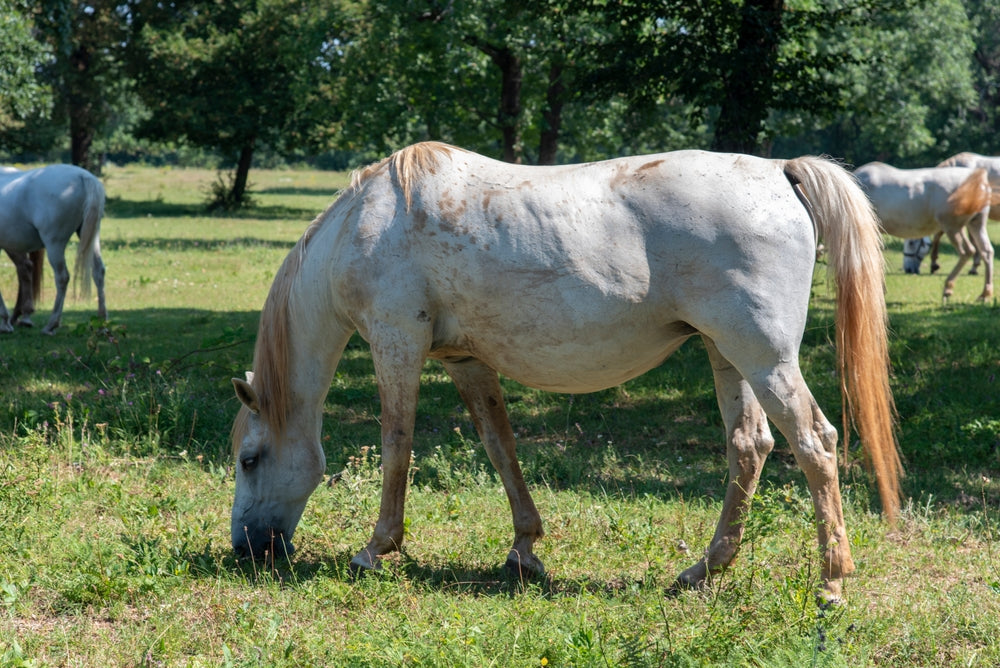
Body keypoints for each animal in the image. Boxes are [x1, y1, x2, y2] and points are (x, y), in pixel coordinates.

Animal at [0, 164, 107, 333]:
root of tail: (83, 176)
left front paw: (5, 322)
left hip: (54, 244)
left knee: (62, 277)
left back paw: (51, 324)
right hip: (91, 237)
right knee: (98, 272)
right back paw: (102, 324)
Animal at [230, 142, 901, 602]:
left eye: (249, 458)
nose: (246, 551)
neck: (366, 223)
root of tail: (778, 171)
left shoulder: (397, 343)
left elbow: (397, 445)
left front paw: (376, 550)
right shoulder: (466, 362)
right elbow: (500, 448)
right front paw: (525, 551)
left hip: (764, 357)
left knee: (814, 443)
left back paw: (832, 583)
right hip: (727, 354)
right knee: (750, 446)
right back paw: (702, 572)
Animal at [854, 161, 994, 302]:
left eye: (911, 244)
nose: (909, 269)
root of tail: (977, 180)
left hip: (952, 226)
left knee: (967, 251)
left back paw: (948, 287)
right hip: (975, 224)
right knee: (986, 251)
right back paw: (985, 293)